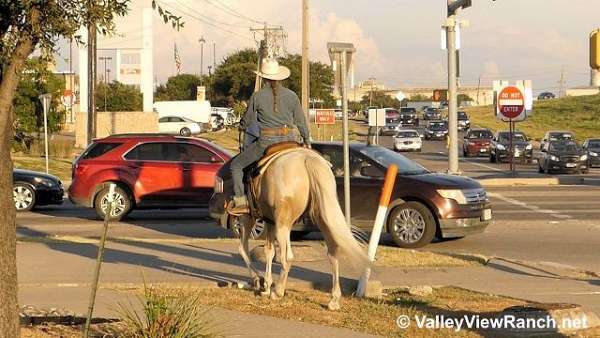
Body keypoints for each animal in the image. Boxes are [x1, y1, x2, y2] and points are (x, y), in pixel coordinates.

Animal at [237, 148, 368, 308]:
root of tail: (308, 160)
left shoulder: (255, 219)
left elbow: (247, 249)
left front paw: (261, 282)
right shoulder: (270, 222)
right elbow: (269, 251)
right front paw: (266, 285)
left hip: (283, 225)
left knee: (286, 257)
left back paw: (278, 291)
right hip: (321, 218)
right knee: (332, 254)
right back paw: (334, 299)